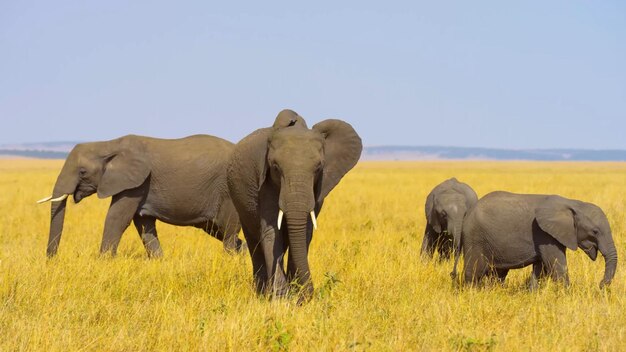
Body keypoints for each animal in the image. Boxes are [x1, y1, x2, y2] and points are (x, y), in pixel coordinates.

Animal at [458, 192, 616, 288]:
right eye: (595, 231)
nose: (600, 285)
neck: (573, 204)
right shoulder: (544, 234)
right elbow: (557, 266)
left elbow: (541, 268)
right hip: (475, 238)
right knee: (474, 271)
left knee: (497, 274)